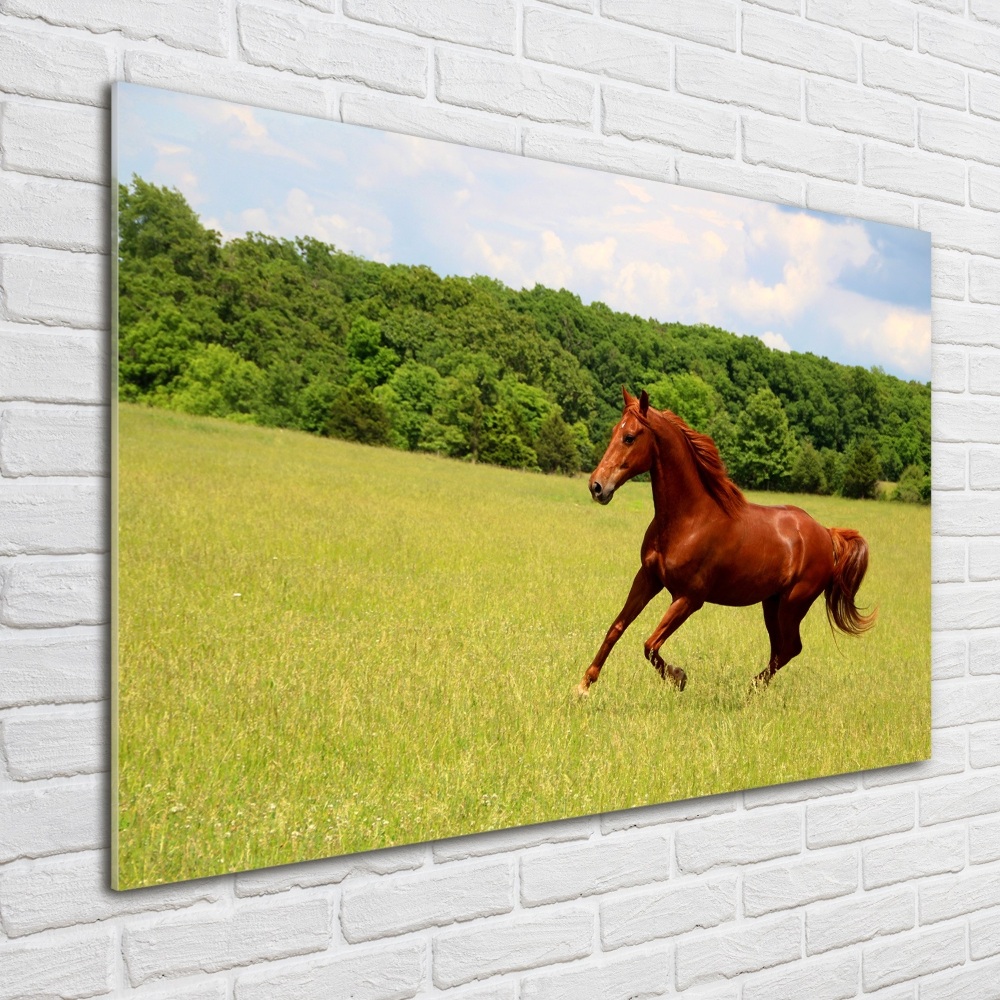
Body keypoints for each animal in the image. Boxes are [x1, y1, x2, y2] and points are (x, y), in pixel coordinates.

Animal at [580, 386, 876, 700]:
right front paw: (584, 685)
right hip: (771, 604)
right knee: (781, 649)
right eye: (614, 431)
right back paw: (752, 689)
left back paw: (750, 690)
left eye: (630, 437)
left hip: (793, 604)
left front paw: (679, 676)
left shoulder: (689, 598)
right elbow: (617, 627)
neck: (689, 519)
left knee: (790, 648)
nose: (597, 486)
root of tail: (826, 533)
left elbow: (650, 644)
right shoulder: (648, 578)